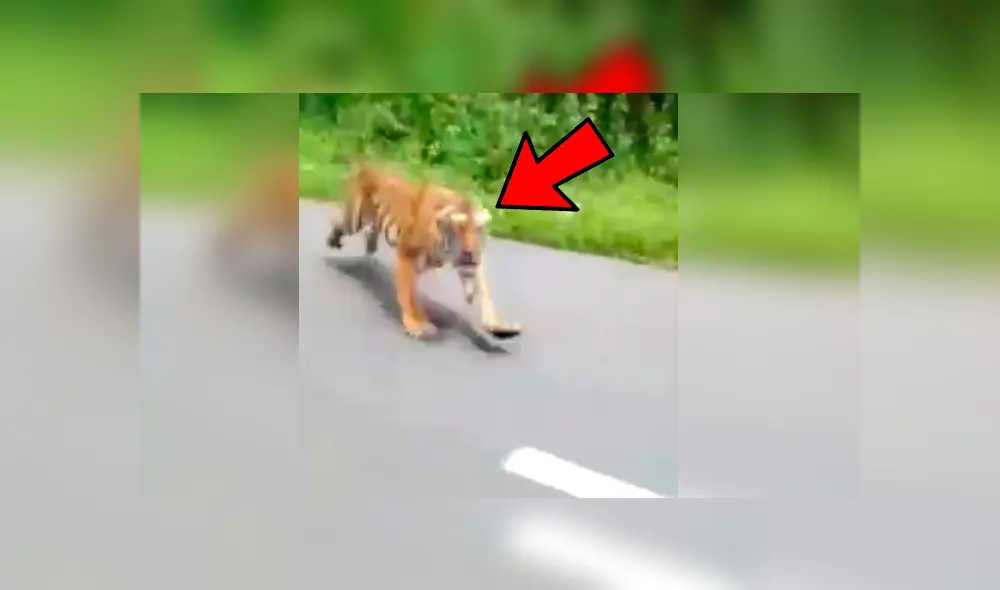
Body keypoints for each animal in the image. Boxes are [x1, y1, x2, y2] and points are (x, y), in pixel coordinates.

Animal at [327, 162, 521, 341]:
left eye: (479, 229)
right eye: (461, 229)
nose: (472, 252)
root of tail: (366, 164)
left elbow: (485, 291)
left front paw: (499, 327)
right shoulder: (407, 255)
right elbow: (407, 294)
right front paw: (415, 324)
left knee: (370, 235)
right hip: (353, 220)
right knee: (338, 223)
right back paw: (333, 243)